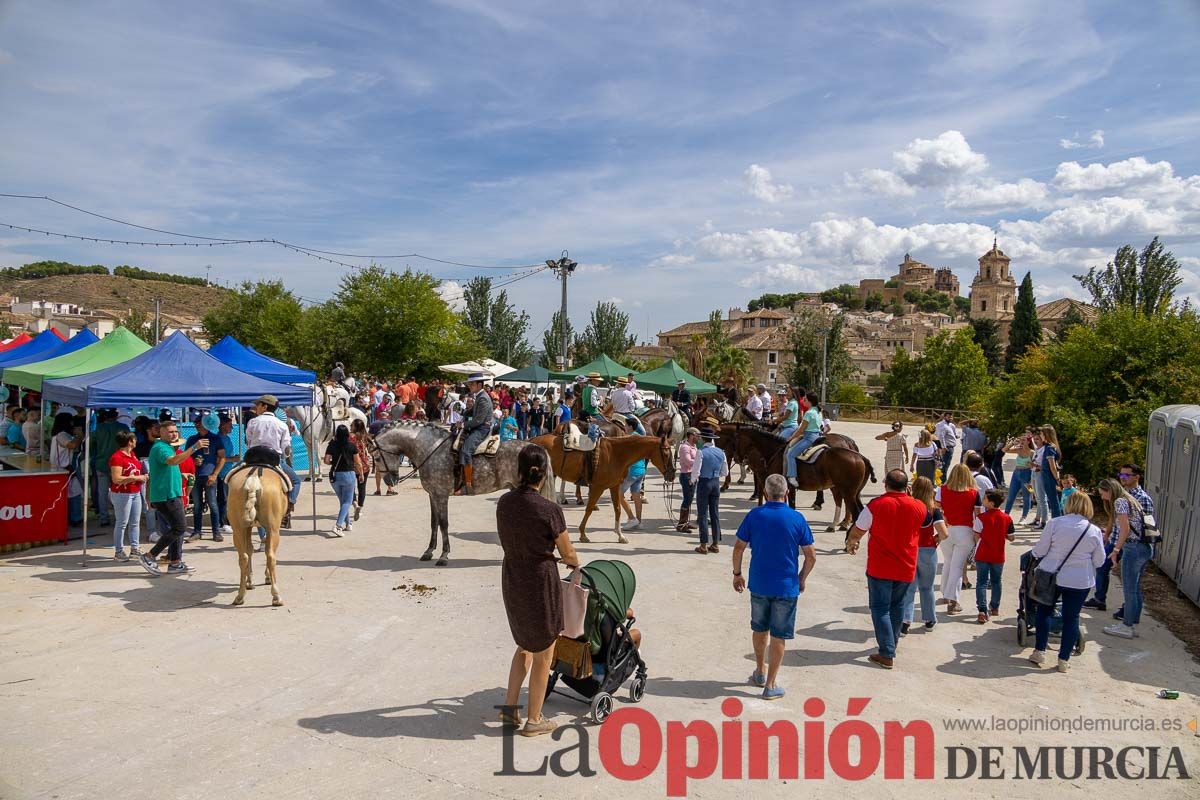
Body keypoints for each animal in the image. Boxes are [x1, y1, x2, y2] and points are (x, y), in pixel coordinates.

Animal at [225, 470, 289, 606]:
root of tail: (253, 480)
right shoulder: (270, 529)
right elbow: (265, 548)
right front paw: (267, 577)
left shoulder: (247, 527)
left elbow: (250, 550)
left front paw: (250, 581)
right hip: (273, 530)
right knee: (270, 557)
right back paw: (276, 596)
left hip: (238, 529)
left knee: (243, 557)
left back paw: (240, 595)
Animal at [369, 422, 556, 566]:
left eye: (377, 458)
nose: (390, 481)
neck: (430, 449)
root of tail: (537, 447)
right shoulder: (432, 495)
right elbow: (434, 523)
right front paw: (429, 551)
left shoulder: (441, 495)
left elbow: (443, 524)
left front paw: (444, 556)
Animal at [532, 434, 681, 546]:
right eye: (666, 454)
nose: (672, 474)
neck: (616, 454)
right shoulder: (598, 487)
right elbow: (589, 509)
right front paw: (583, 534)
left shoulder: (614, 486)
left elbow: (618, 509)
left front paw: (620, 535)